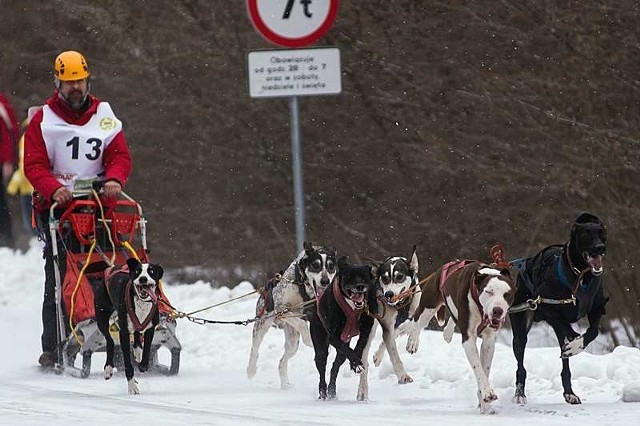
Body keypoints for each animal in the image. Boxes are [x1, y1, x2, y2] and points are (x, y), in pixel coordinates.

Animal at [92, 256, 162, 392]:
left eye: (151, 271)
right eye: (137, 271)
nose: (143, 278)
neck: (141, 303)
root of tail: (111, 267)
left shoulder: (151, 328)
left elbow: (147, 350)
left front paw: (143, 365)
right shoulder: (123, 332)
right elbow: (128, 364)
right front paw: (132, 386)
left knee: (137, 332)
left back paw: (137, 350)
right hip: (102, 319)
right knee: (110, 341)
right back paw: (108, 368)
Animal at [245, 241, 338, 388]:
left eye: (331, 266)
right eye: (315, 265)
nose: (325, 281)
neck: (306, 287)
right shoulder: (282, 309)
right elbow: (302, 324)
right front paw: (309, 339)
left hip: (293, 342)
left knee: (281, 362)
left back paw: (285, 384)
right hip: (262, 324)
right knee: (254, 349)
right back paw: (251, 369)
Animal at [308, 258, 378, 402]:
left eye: (364, 276)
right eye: (350, 276)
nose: (360, 286)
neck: (352, 308)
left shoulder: (366, 329)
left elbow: (359, 345)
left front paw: (356, 362)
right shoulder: (333, 336)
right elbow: (348, 350)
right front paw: (356, 363)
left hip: (342, 348)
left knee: (335, 366)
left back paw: (332, 391)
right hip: (320, 345)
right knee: (322, 367)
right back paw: (323, 392)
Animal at [508, 213, 608, 406]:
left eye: (601, 233)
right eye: (586, 234)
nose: (600, 247)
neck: (580, 275)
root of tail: (525, 263)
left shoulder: (597, 309)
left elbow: (593, 331)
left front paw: (577, 345)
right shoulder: (546, 305)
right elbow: (568, 328)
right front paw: (575, 341)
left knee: (564, 362)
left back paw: (569, 392)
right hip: (520, 328)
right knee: (520, 363)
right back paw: (520, 393)